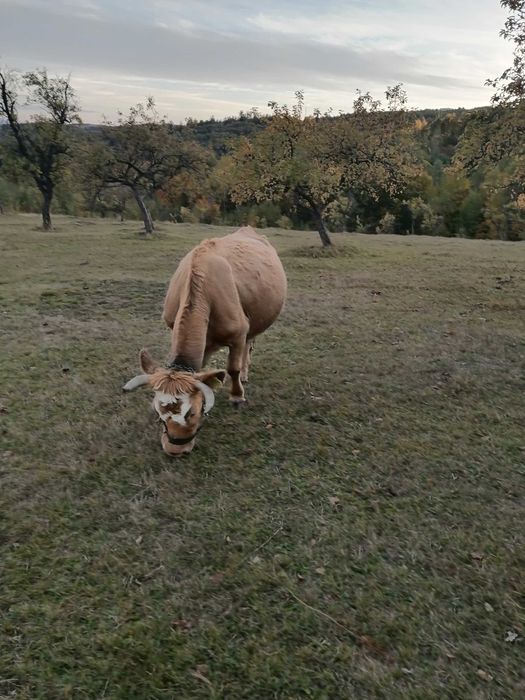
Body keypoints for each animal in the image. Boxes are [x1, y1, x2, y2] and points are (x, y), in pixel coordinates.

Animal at [123, 226, 287, 456]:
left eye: (191, 412)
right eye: (158, 412)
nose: (175, 449)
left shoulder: (238, 333)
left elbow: (233, 368)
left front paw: (237, 397)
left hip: (253, 323)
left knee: (248, 345)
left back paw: (244, 375)